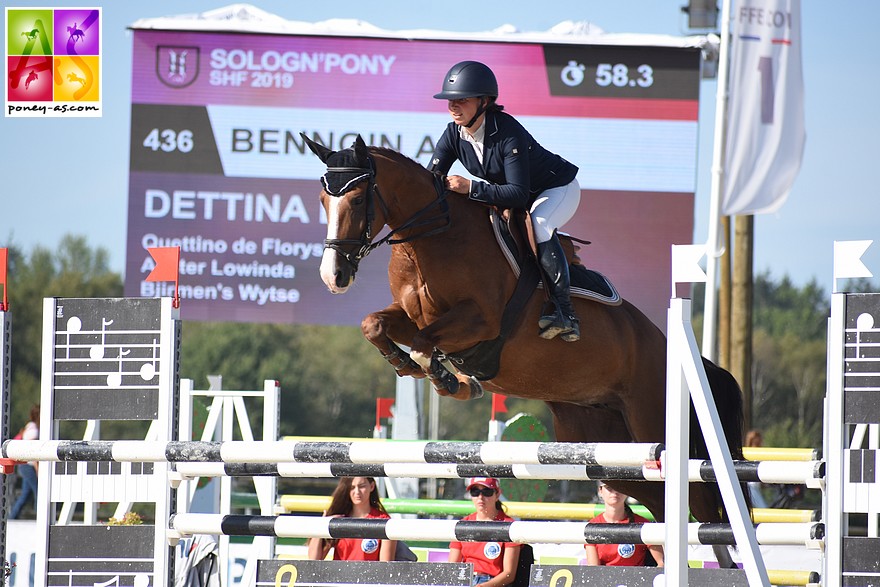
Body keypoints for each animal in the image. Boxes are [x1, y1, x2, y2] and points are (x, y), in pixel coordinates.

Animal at [302, 134, 748, 556]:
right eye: (323, 199)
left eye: (358, 199)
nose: (332, 276)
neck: (432, 240)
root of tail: (672, 348)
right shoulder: (411, 317)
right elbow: (374, 324)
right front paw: (416, 366)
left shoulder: (480, 320)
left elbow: (426, 346)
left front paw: (450, 380)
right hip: (605, 444)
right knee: (661, 503)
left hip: (654, 423)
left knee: (703, 503)